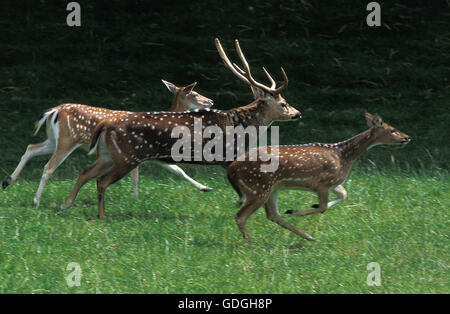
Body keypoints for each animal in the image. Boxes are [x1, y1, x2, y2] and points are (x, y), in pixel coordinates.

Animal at [1, 80, 214, 206]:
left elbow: (178, 171)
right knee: (48, 166)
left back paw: (8, 181)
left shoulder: (151, 156)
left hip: (54, 140)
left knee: (30, 148)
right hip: (67, 140)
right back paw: (36, 200)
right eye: (194, 93)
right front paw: (136, 200)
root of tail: (53, 111)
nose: (210, 101)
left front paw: (205, 188)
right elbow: (137, 177)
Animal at [61, 38, 302, 218]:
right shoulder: (227, 155)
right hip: (127, 156)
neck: (241, 126)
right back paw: (101, 216)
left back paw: (67, 205)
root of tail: (105, 124)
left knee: (85, 173)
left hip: (107, 155)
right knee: (101, 181)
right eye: (283, 103)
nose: (297, 113)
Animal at [229, 112, 412, 243]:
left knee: (273, 215)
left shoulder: (334, 182)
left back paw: (308, 236)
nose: (407, 137)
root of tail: (232, 169)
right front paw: (299, 210)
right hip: (257, 188)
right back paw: (250, 243)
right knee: (241, 216)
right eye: (392, 129)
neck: (343, 156)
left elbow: (344, 195)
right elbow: (323, 207)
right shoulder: (322, 183)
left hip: (270, 188)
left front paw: (299, 209)